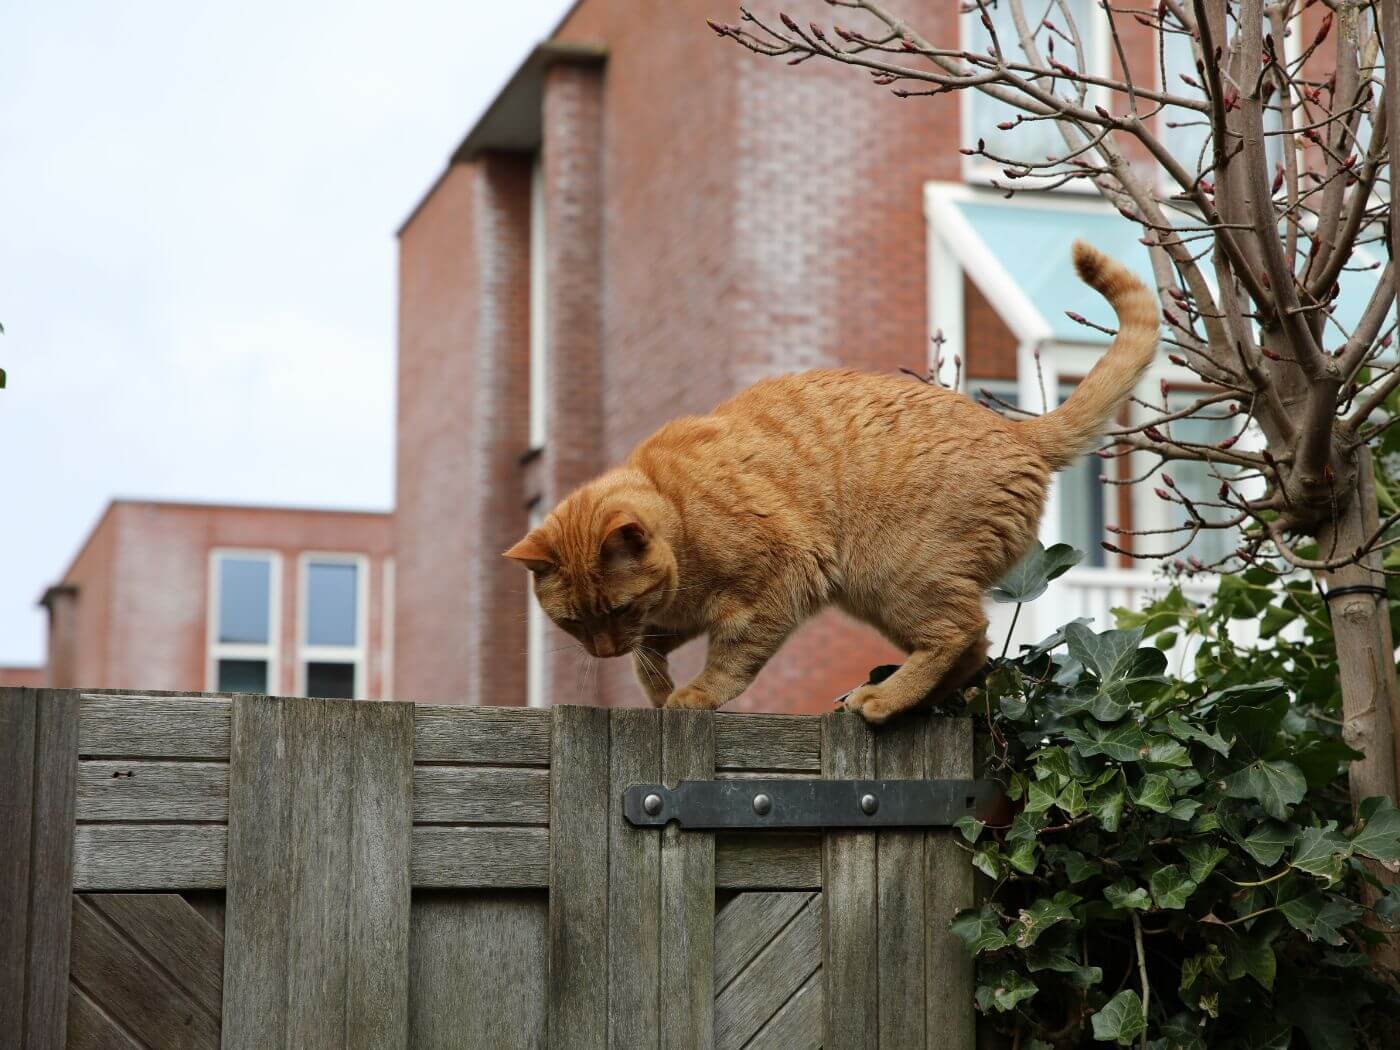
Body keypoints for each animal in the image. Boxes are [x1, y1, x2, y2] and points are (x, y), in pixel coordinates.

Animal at [504, 243, 1159, 722]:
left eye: (615, 607)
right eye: (574, 623)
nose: (604, 650)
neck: (680, 516)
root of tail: (1018, 434)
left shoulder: (774, 584)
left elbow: (732, 658)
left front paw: (693, 694)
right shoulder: (674, 619)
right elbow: (651, 658)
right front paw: (657, 686)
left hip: (893, 575)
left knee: (962, 631)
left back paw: (883, 700)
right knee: (974, 649)